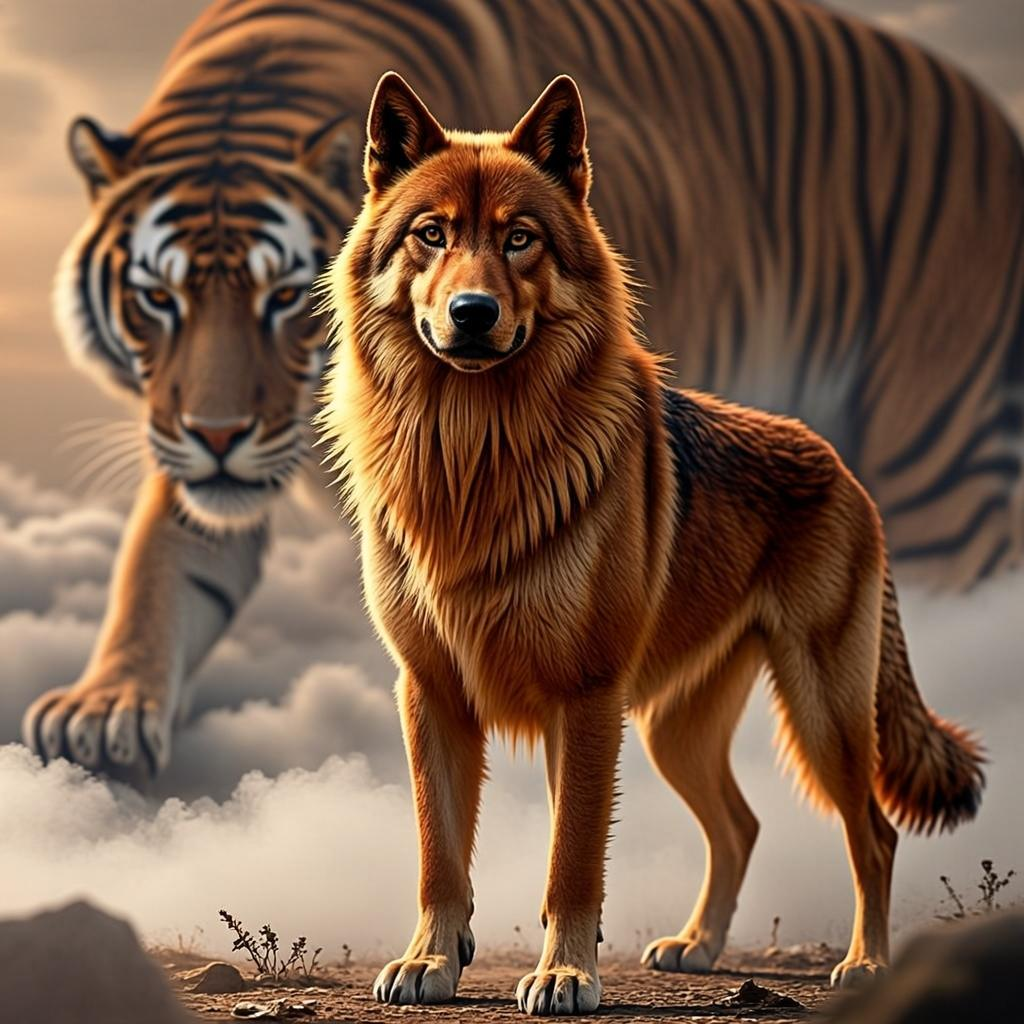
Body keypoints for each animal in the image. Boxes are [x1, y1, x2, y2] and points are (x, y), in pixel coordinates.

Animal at [23, 0, 1024, 783]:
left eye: (279, 299)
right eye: (160, 298)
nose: (220, 433)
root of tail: (992, 116)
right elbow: (161, 562)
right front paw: (104, 707)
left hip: (935, 464)